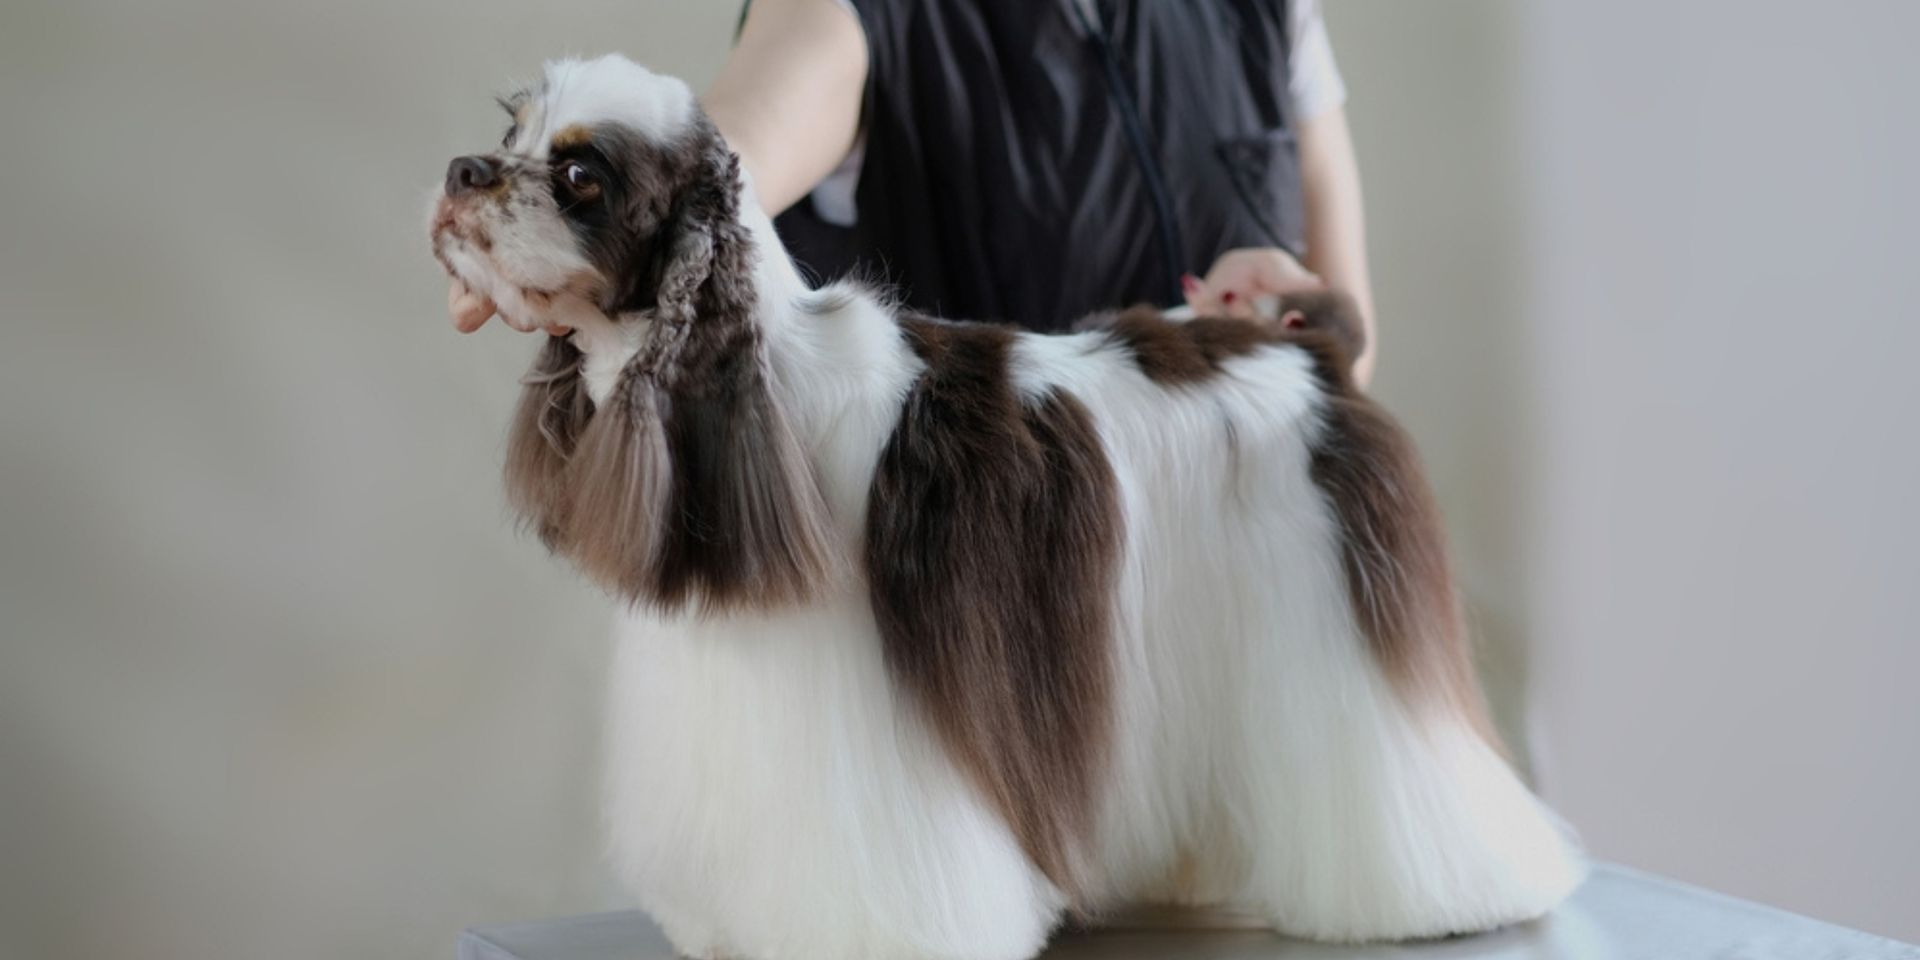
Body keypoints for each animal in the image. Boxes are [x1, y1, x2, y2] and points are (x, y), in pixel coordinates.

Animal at [428, 56, 1582, 960]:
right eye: (511, 133)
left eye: (581, 175)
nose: (460, 171)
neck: (759, 382)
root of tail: (1312, 343)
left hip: (1339, 617)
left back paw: (1448, 892)